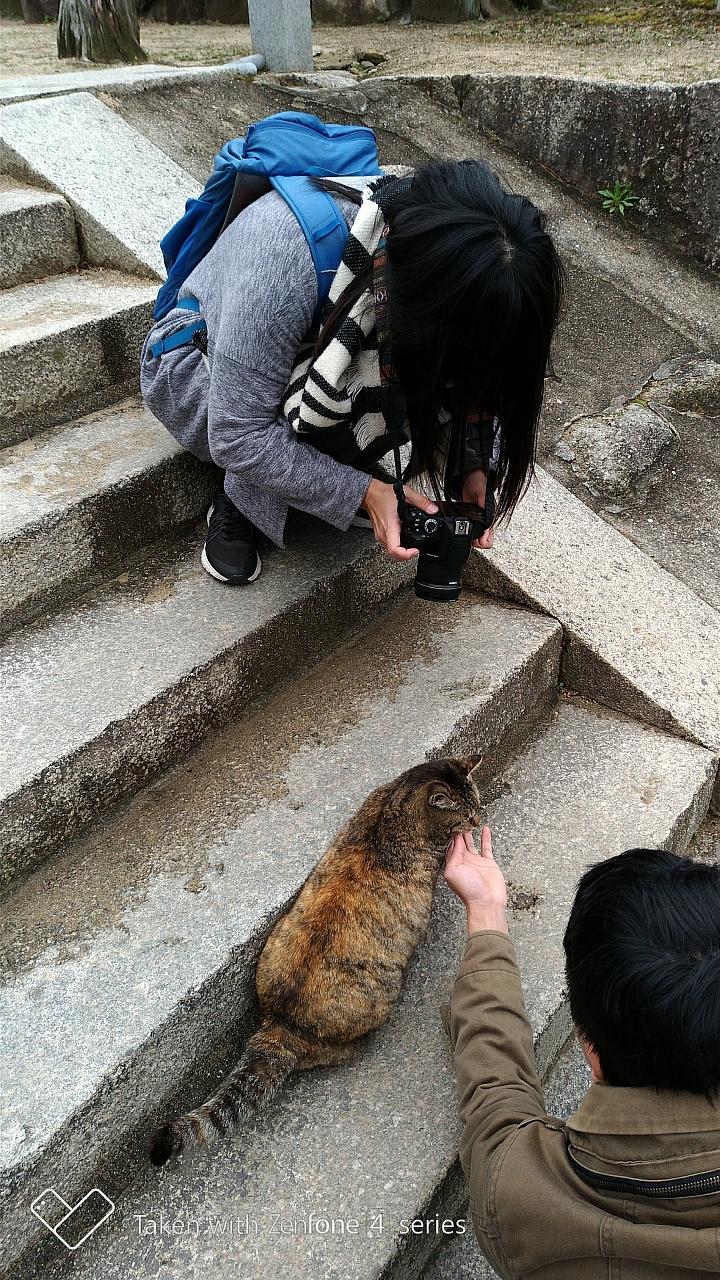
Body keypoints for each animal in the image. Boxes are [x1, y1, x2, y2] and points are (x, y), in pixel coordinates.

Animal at [148, 752, 479, 1167]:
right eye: (466, 814)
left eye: (476, 804)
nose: (479, 820)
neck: (393, 810)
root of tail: (280, 1025)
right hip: (376, 1003)